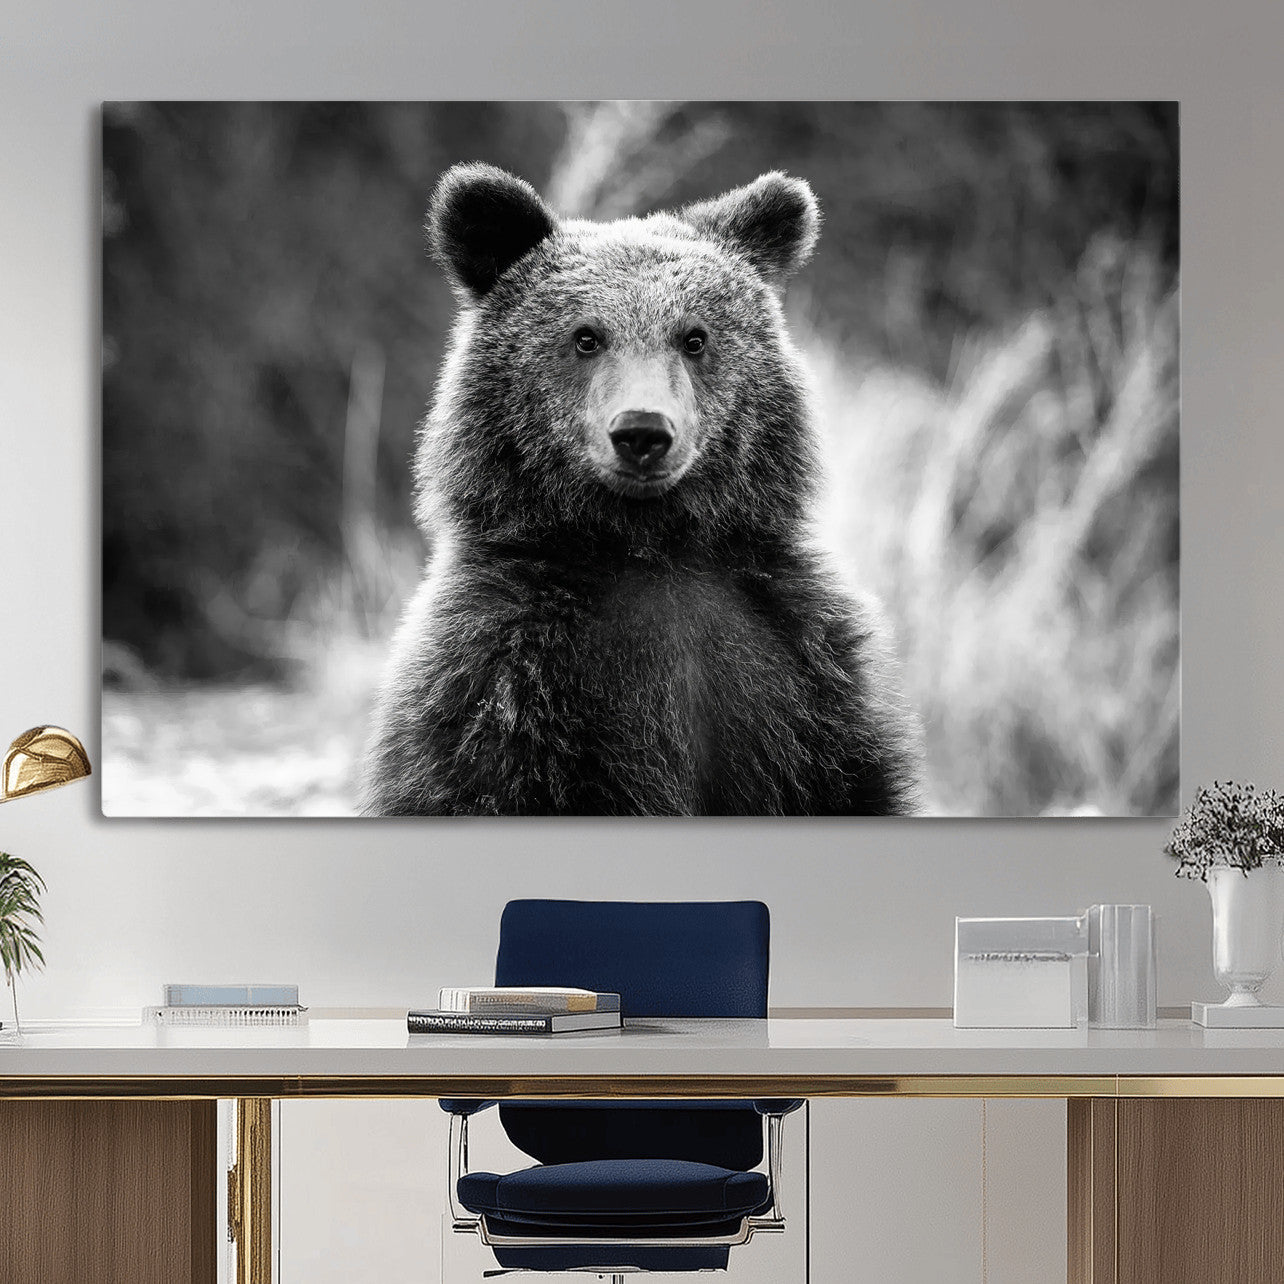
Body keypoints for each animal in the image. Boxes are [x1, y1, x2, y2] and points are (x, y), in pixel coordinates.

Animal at [360, 163, 921, 816]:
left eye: (694, 337)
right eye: (585, 336)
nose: (642, 432)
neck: (648, 547)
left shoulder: (802, 670)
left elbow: (850, 781)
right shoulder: (502, 680)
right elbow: (473, 781)